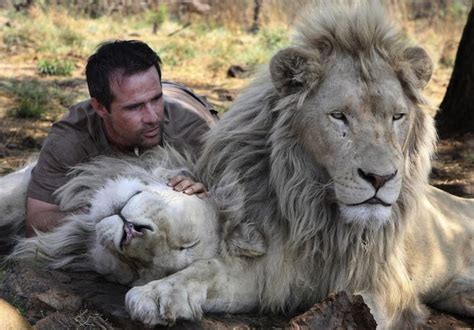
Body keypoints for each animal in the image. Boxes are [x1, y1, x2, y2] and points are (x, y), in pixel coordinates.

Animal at [121, 1, 474, 328]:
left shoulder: (387, 290)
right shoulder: (271, 266)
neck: (319, 216)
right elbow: (207, 269)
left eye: (397, 116)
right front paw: (157, 293)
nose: (380, 178)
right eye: (338, 116)